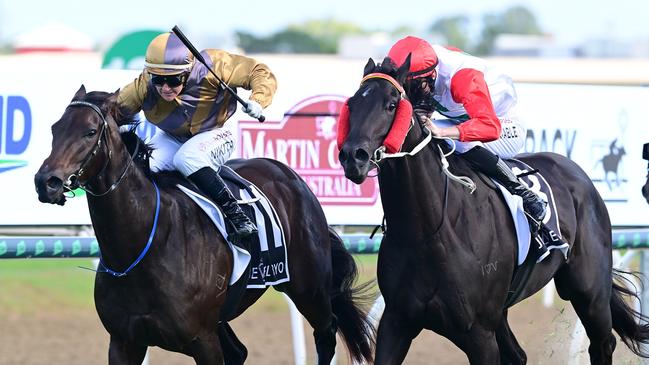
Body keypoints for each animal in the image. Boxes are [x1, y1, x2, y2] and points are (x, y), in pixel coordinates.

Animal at [33, 86, 374, 364]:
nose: (46, 182)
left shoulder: (202, 340)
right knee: (240, 352)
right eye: (55, 128)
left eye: (90, 131)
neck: (143, 243)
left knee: (326, 334)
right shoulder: (124, 342)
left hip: (309, 288)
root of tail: (291, 176)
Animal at [336, 55, 648, 362]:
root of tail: (578, 174)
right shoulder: (397, 322)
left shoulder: (479, 333)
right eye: (351, 104)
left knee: (603, 343)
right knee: (518, 355)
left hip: (588, 289)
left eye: (391, 105)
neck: (427, 231)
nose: (353, 156)